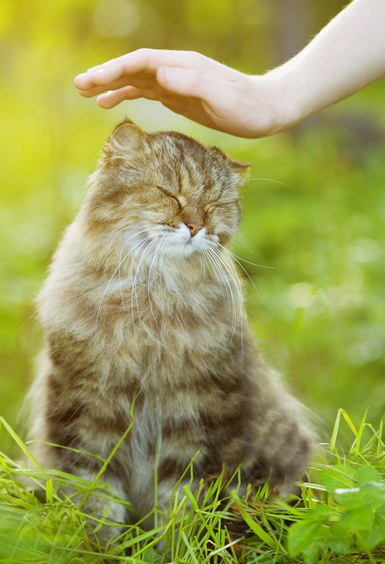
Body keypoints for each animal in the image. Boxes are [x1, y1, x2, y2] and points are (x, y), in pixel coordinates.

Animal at [27, 120, 316, 540]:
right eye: (170, 193)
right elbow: (95, 499)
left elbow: (182, 505)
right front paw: (101, 547)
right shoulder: (89, 411)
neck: (152, 302)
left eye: (212, 204)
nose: (195, 226)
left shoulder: (193, 415)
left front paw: (174, 546)